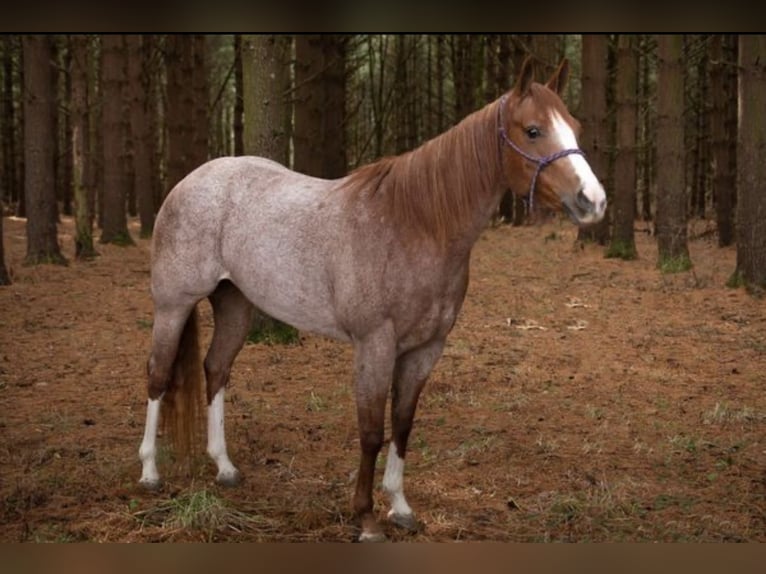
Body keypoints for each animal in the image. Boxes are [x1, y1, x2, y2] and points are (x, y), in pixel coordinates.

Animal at [136, 56, 608, 544]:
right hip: (173, 305)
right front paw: (365, 518)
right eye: (533, 130)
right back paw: (150, 473)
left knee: (216, 370)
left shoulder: (425, 349)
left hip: (235, 304)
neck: (415, 226)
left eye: (574, 126)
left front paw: (400, 506)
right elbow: (370, 432)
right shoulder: (375, 344)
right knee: (157, 376)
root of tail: (190, 181)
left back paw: (224, 467)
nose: (593, 201)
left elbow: (402, 424)